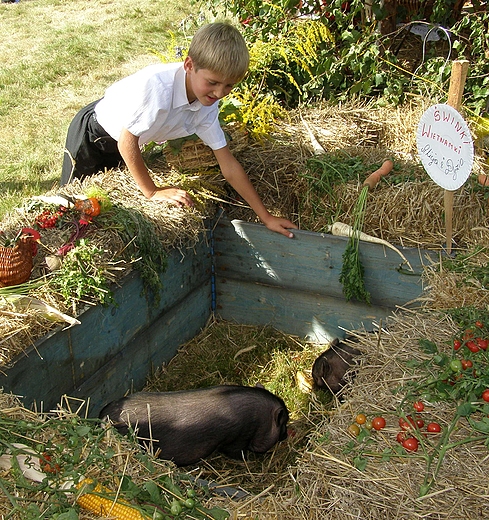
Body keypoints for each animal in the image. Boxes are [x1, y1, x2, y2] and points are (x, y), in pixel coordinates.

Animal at [100, 384, 288, 466]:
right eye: (284, 423)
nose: (286, 436)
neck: (259, 418)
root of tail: (102, 416)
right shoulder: (236, 438)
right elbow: (235, 452)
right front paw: (247, 461)